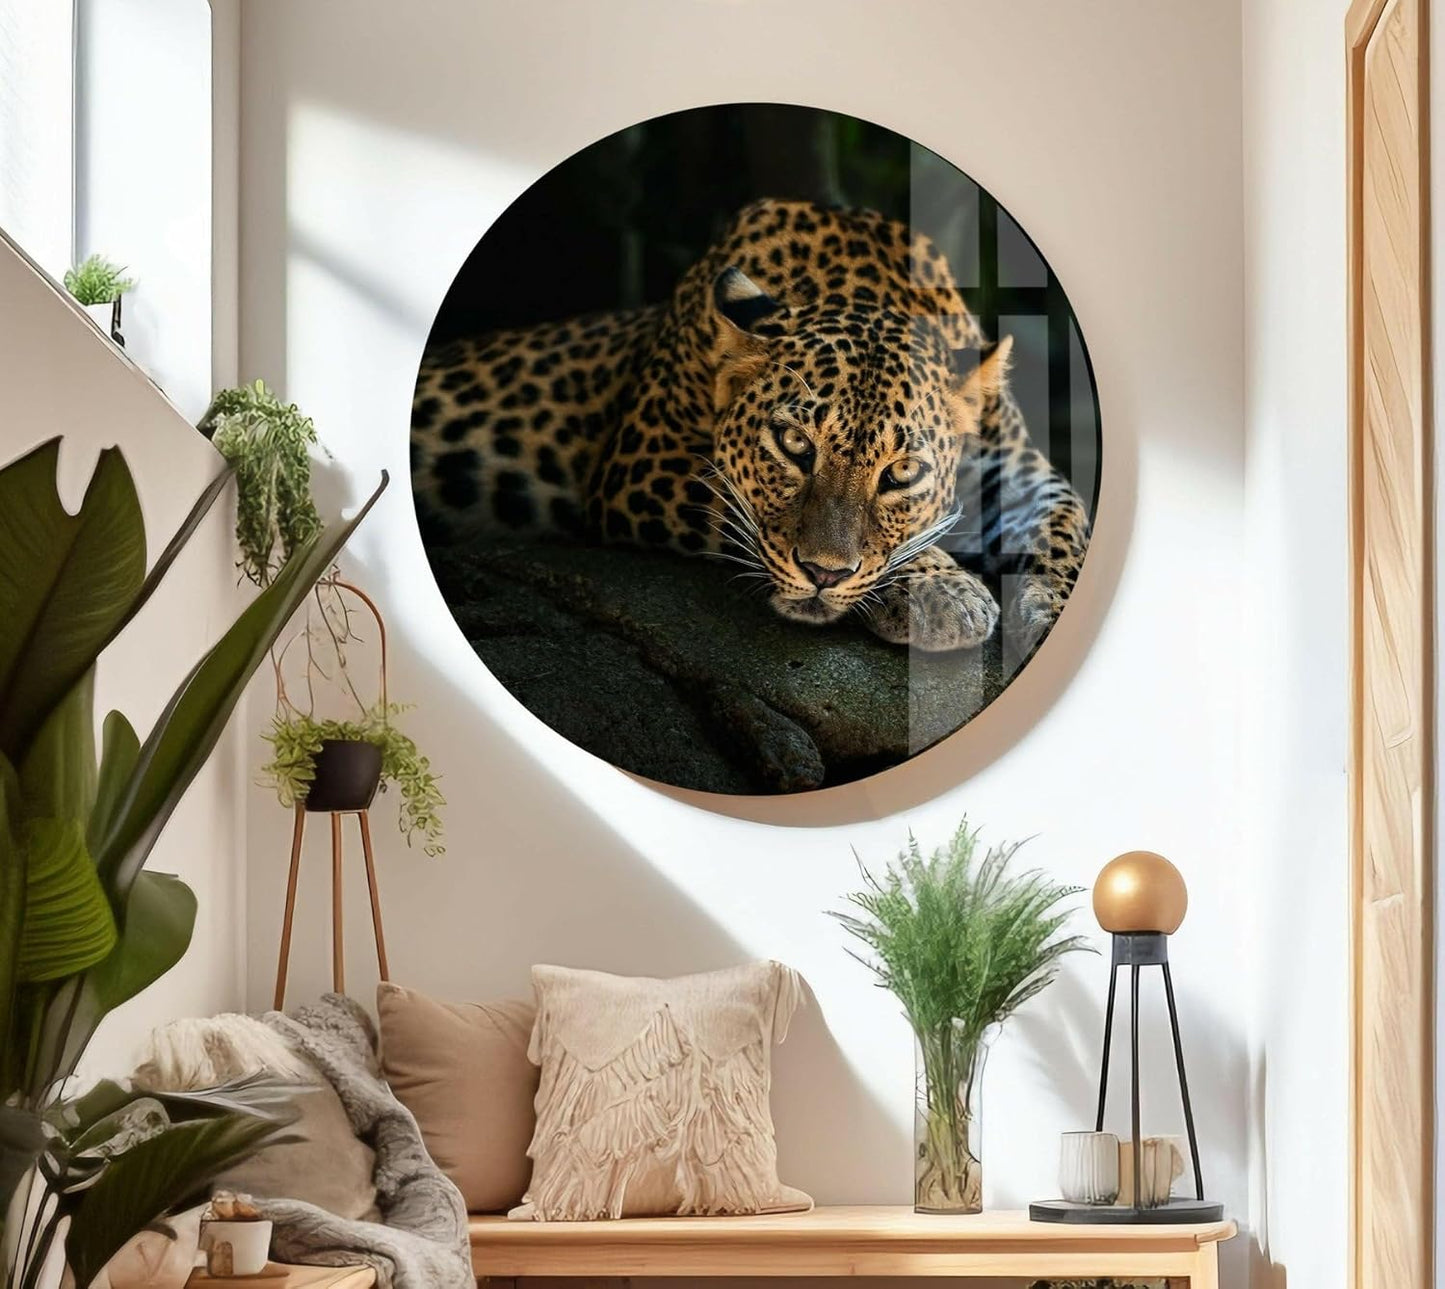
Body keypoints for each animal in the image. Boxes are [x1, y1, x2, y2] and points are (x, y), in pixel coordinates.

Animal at [411, 198, 1091, 653]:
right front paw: (942, 591)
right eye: (793, 445)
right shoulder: (643, 462)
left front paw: (1050, 612)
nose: (824, 575)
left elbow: (1067, 522)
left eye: (901, 473)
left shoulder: (1016, 470)